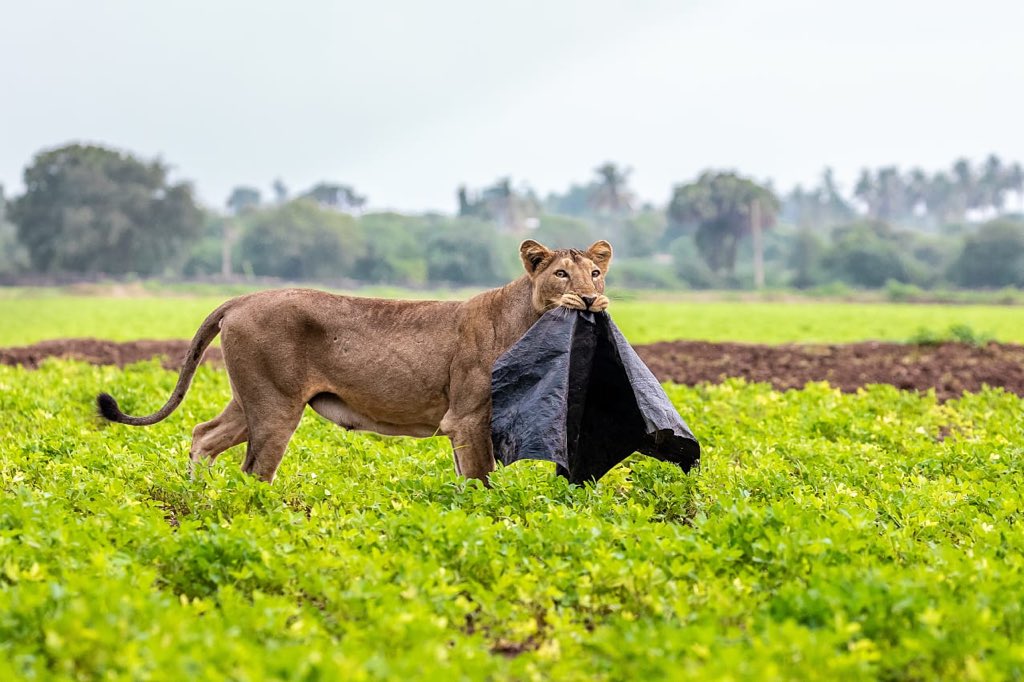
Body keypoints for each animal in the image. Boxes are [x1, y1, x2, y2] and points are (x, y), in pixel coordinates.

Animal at [97, 239, 613, 484]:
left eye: (596, 273)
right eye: (561, 273)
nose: (589, 298)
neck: (527, 317)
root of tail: (241, 297)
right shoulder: (467, 417)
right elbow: (481, 480)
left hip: (250, 400)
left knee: (203, 436)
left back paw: (198, 500)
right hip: (274, 405)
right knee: (254, 472)